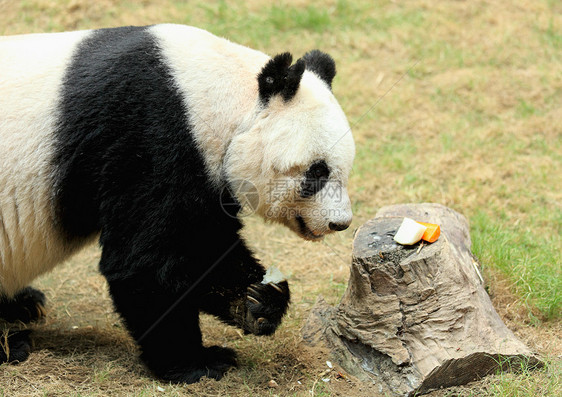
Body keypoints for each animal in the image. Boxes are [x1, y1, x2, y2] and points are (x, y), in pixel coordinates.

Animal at [0, 24, 352, 380]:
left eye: (344, 169)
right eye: (317, 171)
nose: (340, 222)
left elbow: (203, 244)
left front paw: (259, 300)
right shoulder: (148, 132)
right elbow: (151, 257)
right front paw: (197, 362)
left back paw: (24, 305)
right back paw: (14, 343)